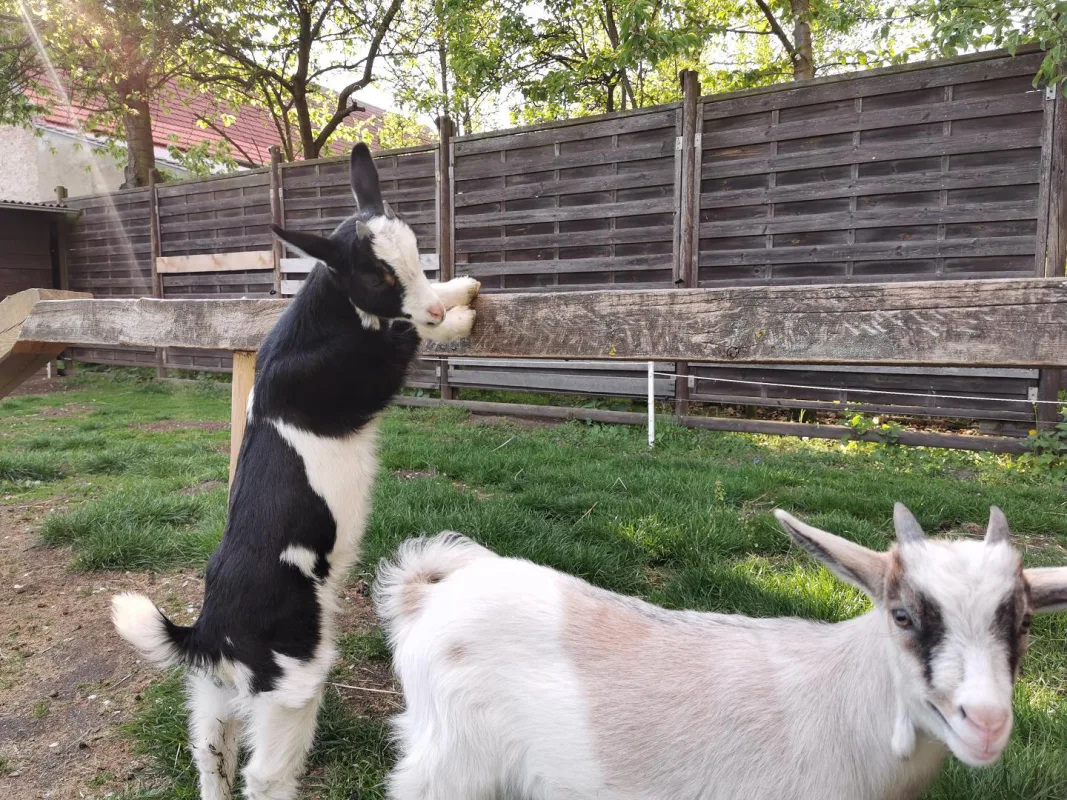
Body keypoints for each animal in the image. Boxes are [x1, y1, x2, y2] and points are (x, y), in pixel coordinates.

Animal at [110, 143, 479, 800]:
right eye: (379, 276)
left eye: (415, 252)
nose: (438, 303)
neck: (318, 323)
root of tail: (210, 630)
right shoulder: (369, 369)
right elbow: (410, 333)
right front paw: (454, 318)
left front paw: (458, 287)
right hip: (292, 682)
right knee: (264, 773)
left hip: (214, 691)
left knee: (211, 753)